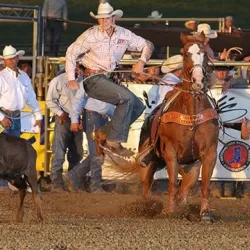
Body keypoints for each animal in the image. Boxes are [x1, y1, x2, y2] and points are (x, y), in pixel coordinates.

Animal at [139, 32, 219, 222]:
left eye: (205, 54)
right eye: (185, 54)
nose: (198, 80)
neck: (191, 115)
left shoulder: (210, 152)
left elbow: (205, 184)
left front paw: (205, 213)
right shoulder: (171, 153)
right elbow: (172, 183)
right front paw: (170, 211)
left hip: (191, 168)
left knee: (186, 187)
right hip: (148, 163)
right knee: (146, 186)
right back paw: (147, 207)